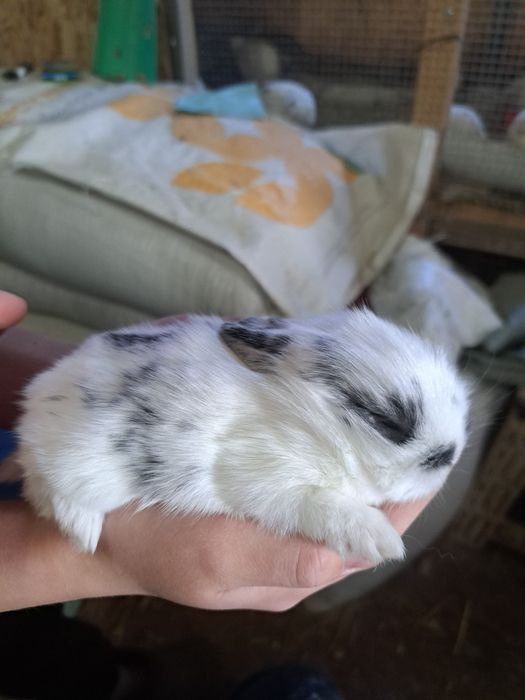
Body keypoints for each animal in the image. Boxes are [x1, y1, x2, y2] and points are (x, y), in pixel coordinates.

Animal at [16, 309, 469, 564]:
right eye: (386, 421)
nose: (451, 455)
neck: (313, 423)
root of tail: (35, 400)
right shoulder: (268, 476)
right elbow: (323, 506)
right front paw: (381, 542)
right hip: (86, 468)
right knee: (47, 484)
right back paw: (82, 534)